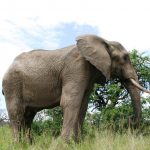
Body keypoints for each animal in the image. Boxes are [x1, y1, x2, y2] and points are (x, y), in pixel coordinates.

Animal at [1, 34, 149, 143]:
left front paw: (77, 142)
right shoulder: (75, 68)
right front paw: (65, 143)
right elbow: (70, 102)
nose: (129, 120)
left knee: (28, 116)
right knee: (16, 112)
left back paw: (28, 144)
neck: (104, 41)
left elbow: (83, 105)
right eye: (125, 58)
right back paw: (17, 144)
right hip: (12, 84)